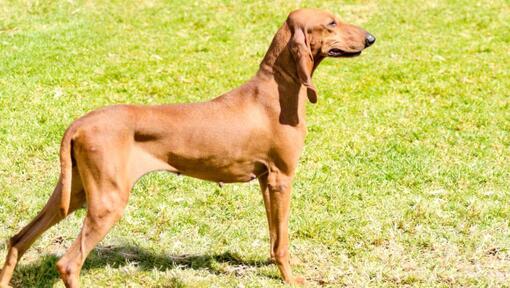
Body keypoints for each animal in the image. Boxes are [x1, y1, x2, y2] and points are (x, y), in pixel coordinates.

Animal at [0, 7, 374, 286]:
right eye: (331, 22)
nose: (371, 38)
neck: (275, 91)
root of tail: (78, 124)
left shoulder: (267, 181)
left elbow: (273, 236)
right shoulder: (282, 178)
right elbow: (282, 242)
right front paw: (291, 280)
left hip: (74, 194)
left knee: (18, 239)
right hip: (108, 201)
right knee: (68, 263)